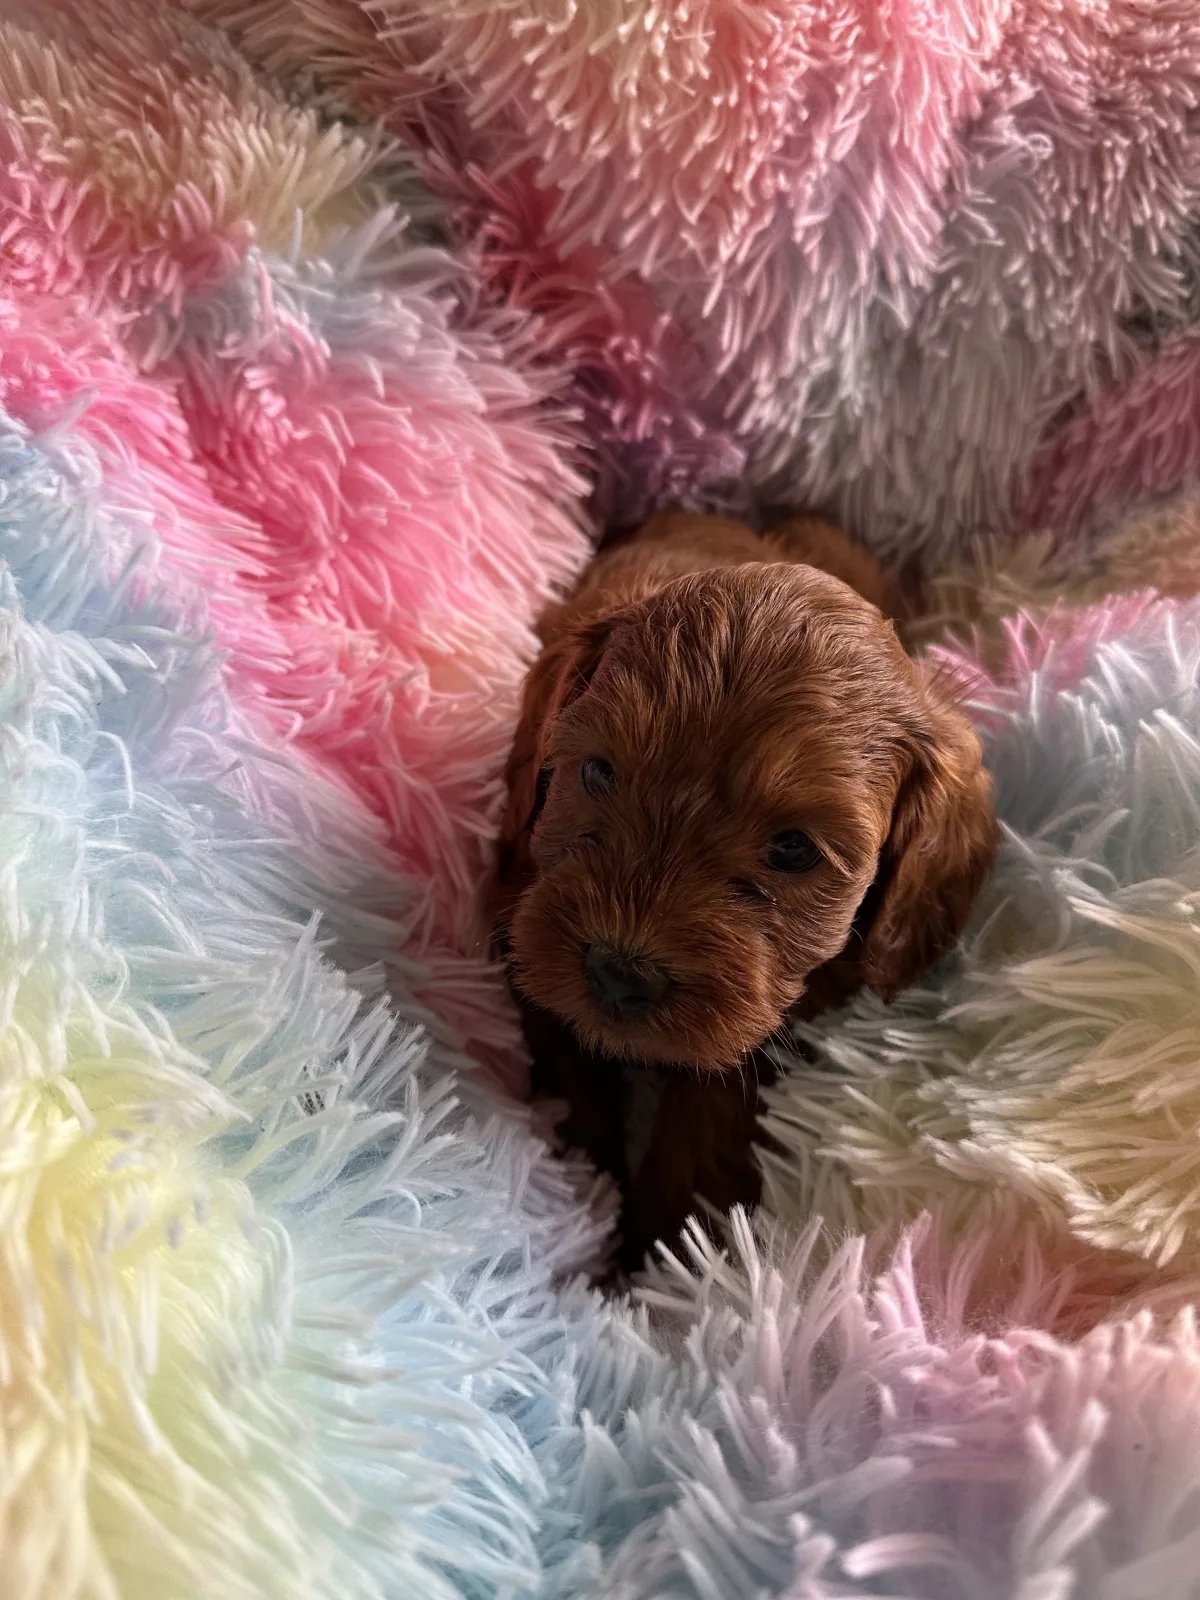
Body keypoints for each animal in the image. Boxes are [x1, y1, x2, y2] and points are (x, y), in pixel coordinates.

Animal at [494, 510, 997, 1266]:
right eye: (597, 772)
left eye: (794, 849)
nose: (618, 974)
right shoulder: (518, 908)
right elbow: (567, 1063)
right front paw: (585, 1188)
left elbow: (710, 1115)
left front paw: (667, 1251)